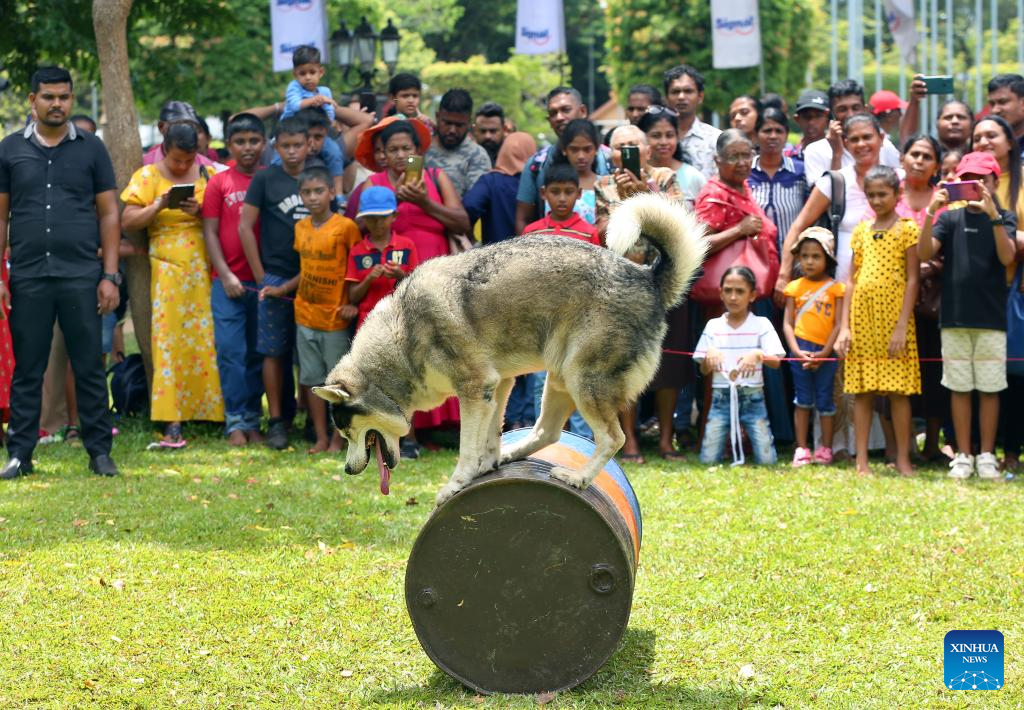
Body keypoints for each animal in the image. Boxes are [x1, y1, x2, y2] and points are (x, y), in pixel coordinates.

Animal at [313, 193, 704, 504]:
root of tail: (647, 277)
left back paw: (577, 477)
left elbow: (467, 447)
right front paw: (488, 464)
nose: (348, 470)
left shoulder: (474, 389)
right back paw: (513, 454)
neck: (403, 334)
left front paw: (457, 483)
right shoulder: (497, 386)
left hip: (584, 381)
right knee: (548, 431)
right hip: (560, 379)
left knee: (613, 437)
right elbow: (488, 437)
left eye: (347, 432)